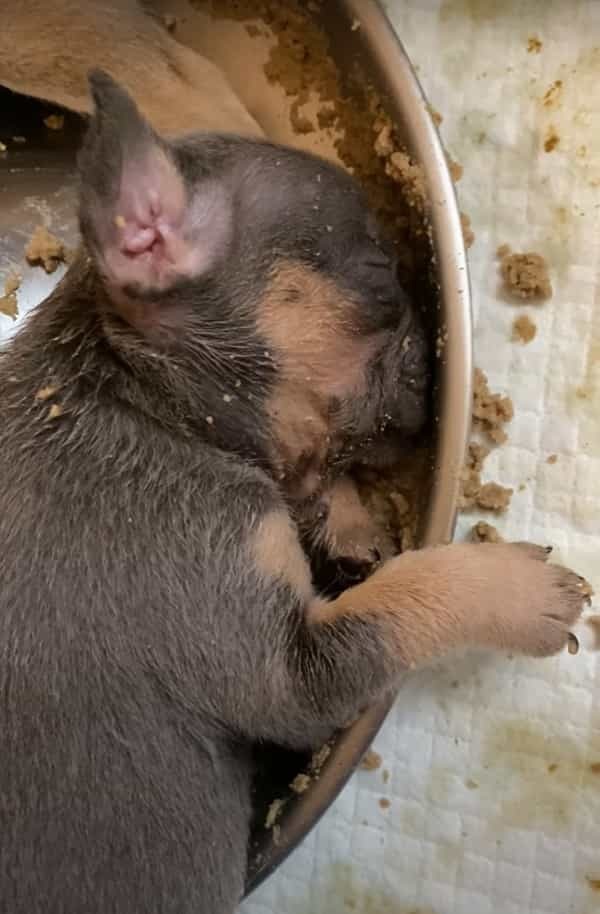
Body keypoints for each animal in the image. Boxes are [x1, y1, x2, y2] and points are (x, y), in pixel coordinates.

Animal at [0, 7, 584, 912]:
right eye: (379, 274)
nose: (433, 357)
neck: (143, 403)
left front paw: (346, 515)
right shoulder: (286, 668)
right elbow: (403, 599)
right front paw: (515, 590)